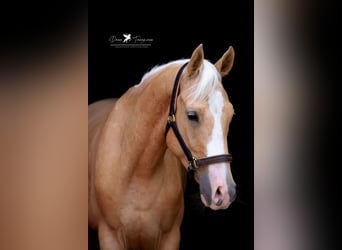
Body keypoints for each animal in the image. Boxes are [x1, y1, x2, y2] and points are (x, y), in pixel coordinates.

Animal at [89, 44, 238, 249]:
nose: (223, 191)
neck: (138, 174)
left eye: (230, 115)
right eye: (192, 115)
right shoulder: (109, 236)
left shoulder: (170, 237)